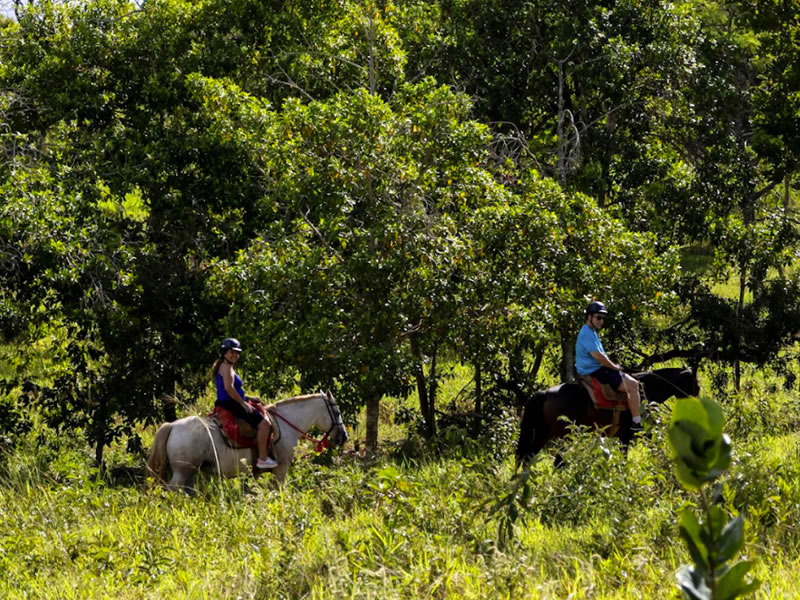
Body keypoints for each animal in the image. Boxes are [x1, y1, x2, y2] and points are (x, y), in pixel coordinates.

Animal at [147, 394, 346, 492]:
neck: (285, 424)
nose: (343, 436)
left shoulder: (254, 474)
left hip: (191, 473)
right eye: (336, 412)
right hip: (181, 473)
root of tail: (172, 425)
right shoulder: (280, 470)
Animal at [516, 366, 696, 464]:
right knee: (558, 462)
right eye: (695, 384)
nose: (696, 406)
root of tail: (545, 393)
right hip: (566, 438)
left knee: (527, 459)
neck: (646, 390)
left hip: (542, 434)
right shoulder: (633, 435)